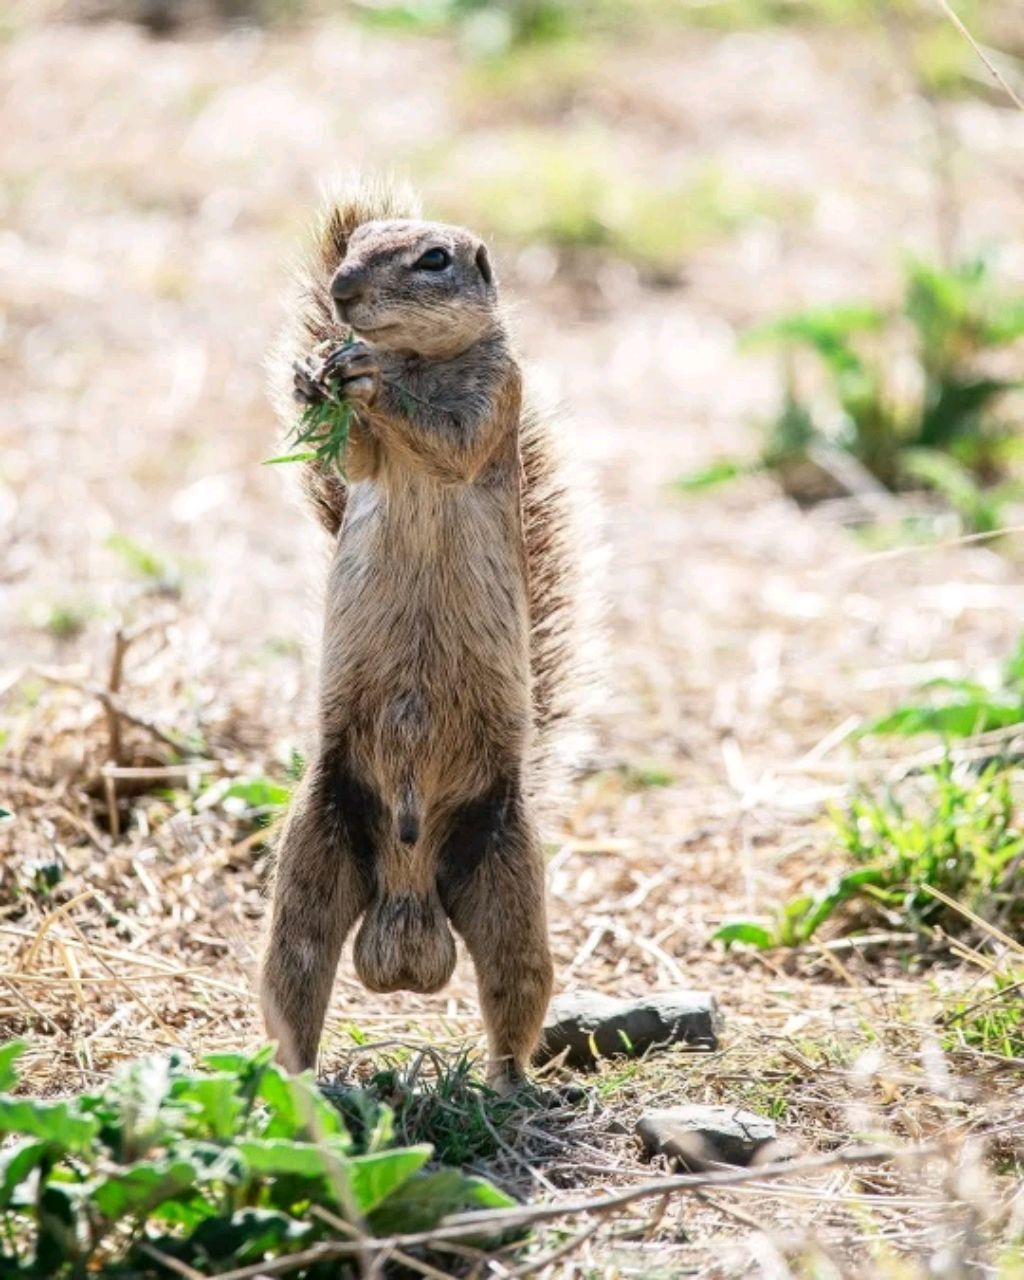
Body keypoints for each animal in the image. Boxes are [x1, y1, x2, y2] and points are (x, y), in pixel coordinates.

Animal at [259, 175, 583, 1085]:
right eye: (354, 245)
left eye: (434, 259)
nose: (342, 295)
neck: (419, 359)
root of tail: (407, 933)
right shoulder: (370, 461)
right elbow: (354, 460)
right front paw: (311, 380)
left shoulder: (496, 396)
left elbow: (449, 437)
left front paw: (363, 377)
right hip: (313, 862)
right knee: (297, 981)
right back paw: (292, 1085)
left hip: (507, 883)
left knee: (516, 991)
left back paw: (510, 1086)